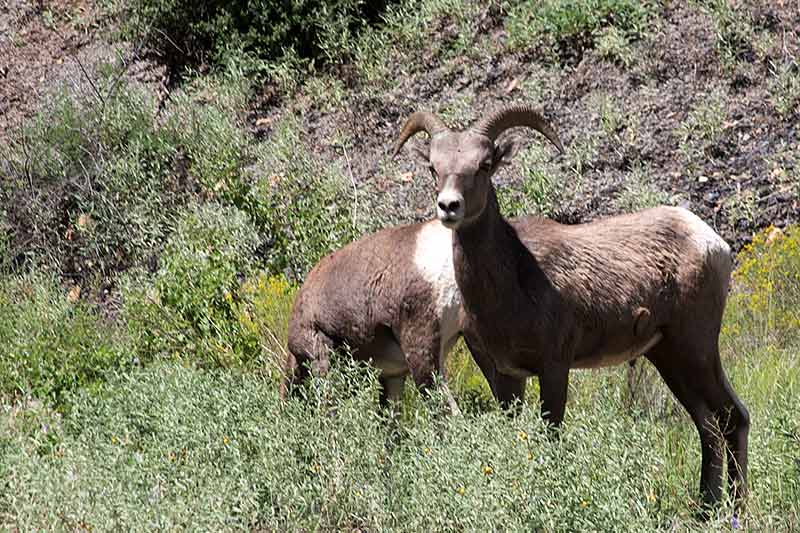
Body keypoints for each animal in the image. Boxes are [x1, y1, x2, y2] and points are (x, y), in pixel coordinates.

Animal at [394, 105, 752, 508]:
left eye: (484, 165)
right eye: (433, 168)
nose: (449, 206)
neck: (513, 281)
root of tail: (713, 243)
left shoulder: (554, 368)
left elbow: (551, 436)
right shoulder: (505, 376)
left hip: (695, 350)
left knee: (733, 418)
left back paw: (735, 510)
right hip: (669, 357)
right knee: (708, 425)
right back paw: (706, 509)